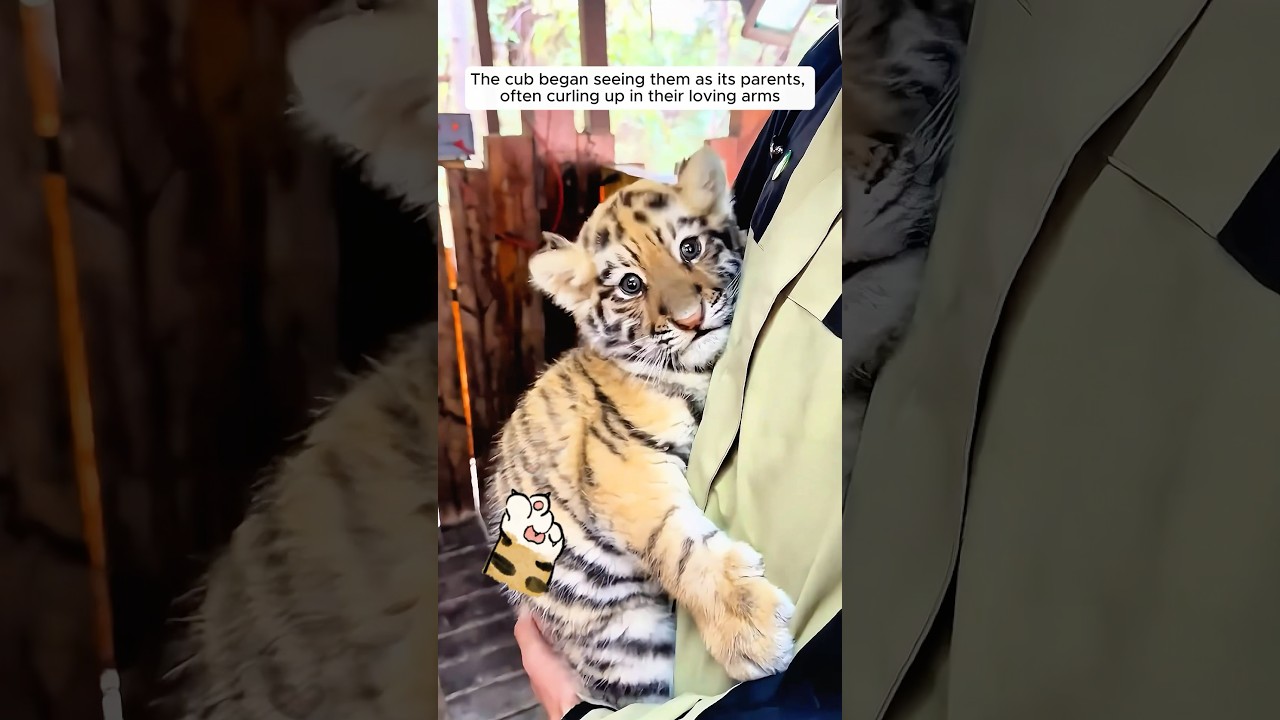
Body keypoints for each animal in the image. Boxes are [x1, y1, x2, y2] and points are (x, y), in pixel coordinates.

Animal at [485, 146, 795, 708]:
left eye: (690, 248)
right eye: (631, 284)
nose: (693, 319)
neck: (695, 369)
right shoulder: (623, 471)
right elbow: (682, 546)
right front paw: (752, 631)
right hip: (625, 641)